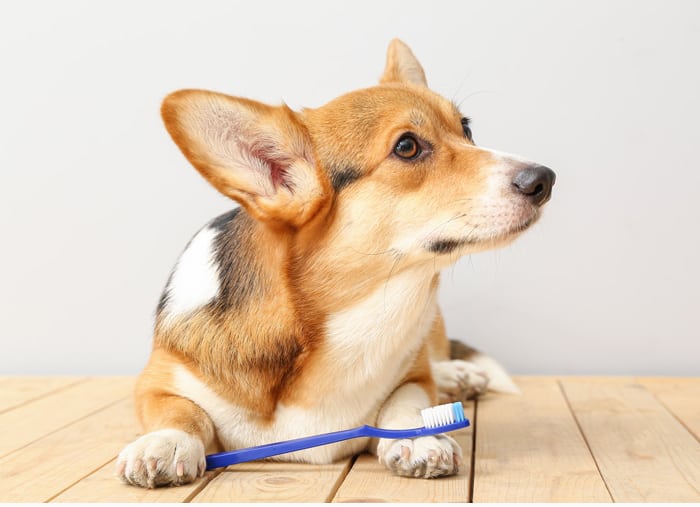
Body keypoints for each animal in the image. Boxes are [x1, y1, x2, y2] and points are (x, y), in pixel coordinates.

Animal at [116, 38, 556, 488]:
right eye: (407, 146)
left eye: (466, 129)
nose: (544, 180)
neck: (349, 320)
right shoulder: (155, 383)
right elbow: (180, 410)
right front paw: (167, 443)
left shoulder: (412, 378)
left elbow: (410, 399)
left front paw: (418, 436)